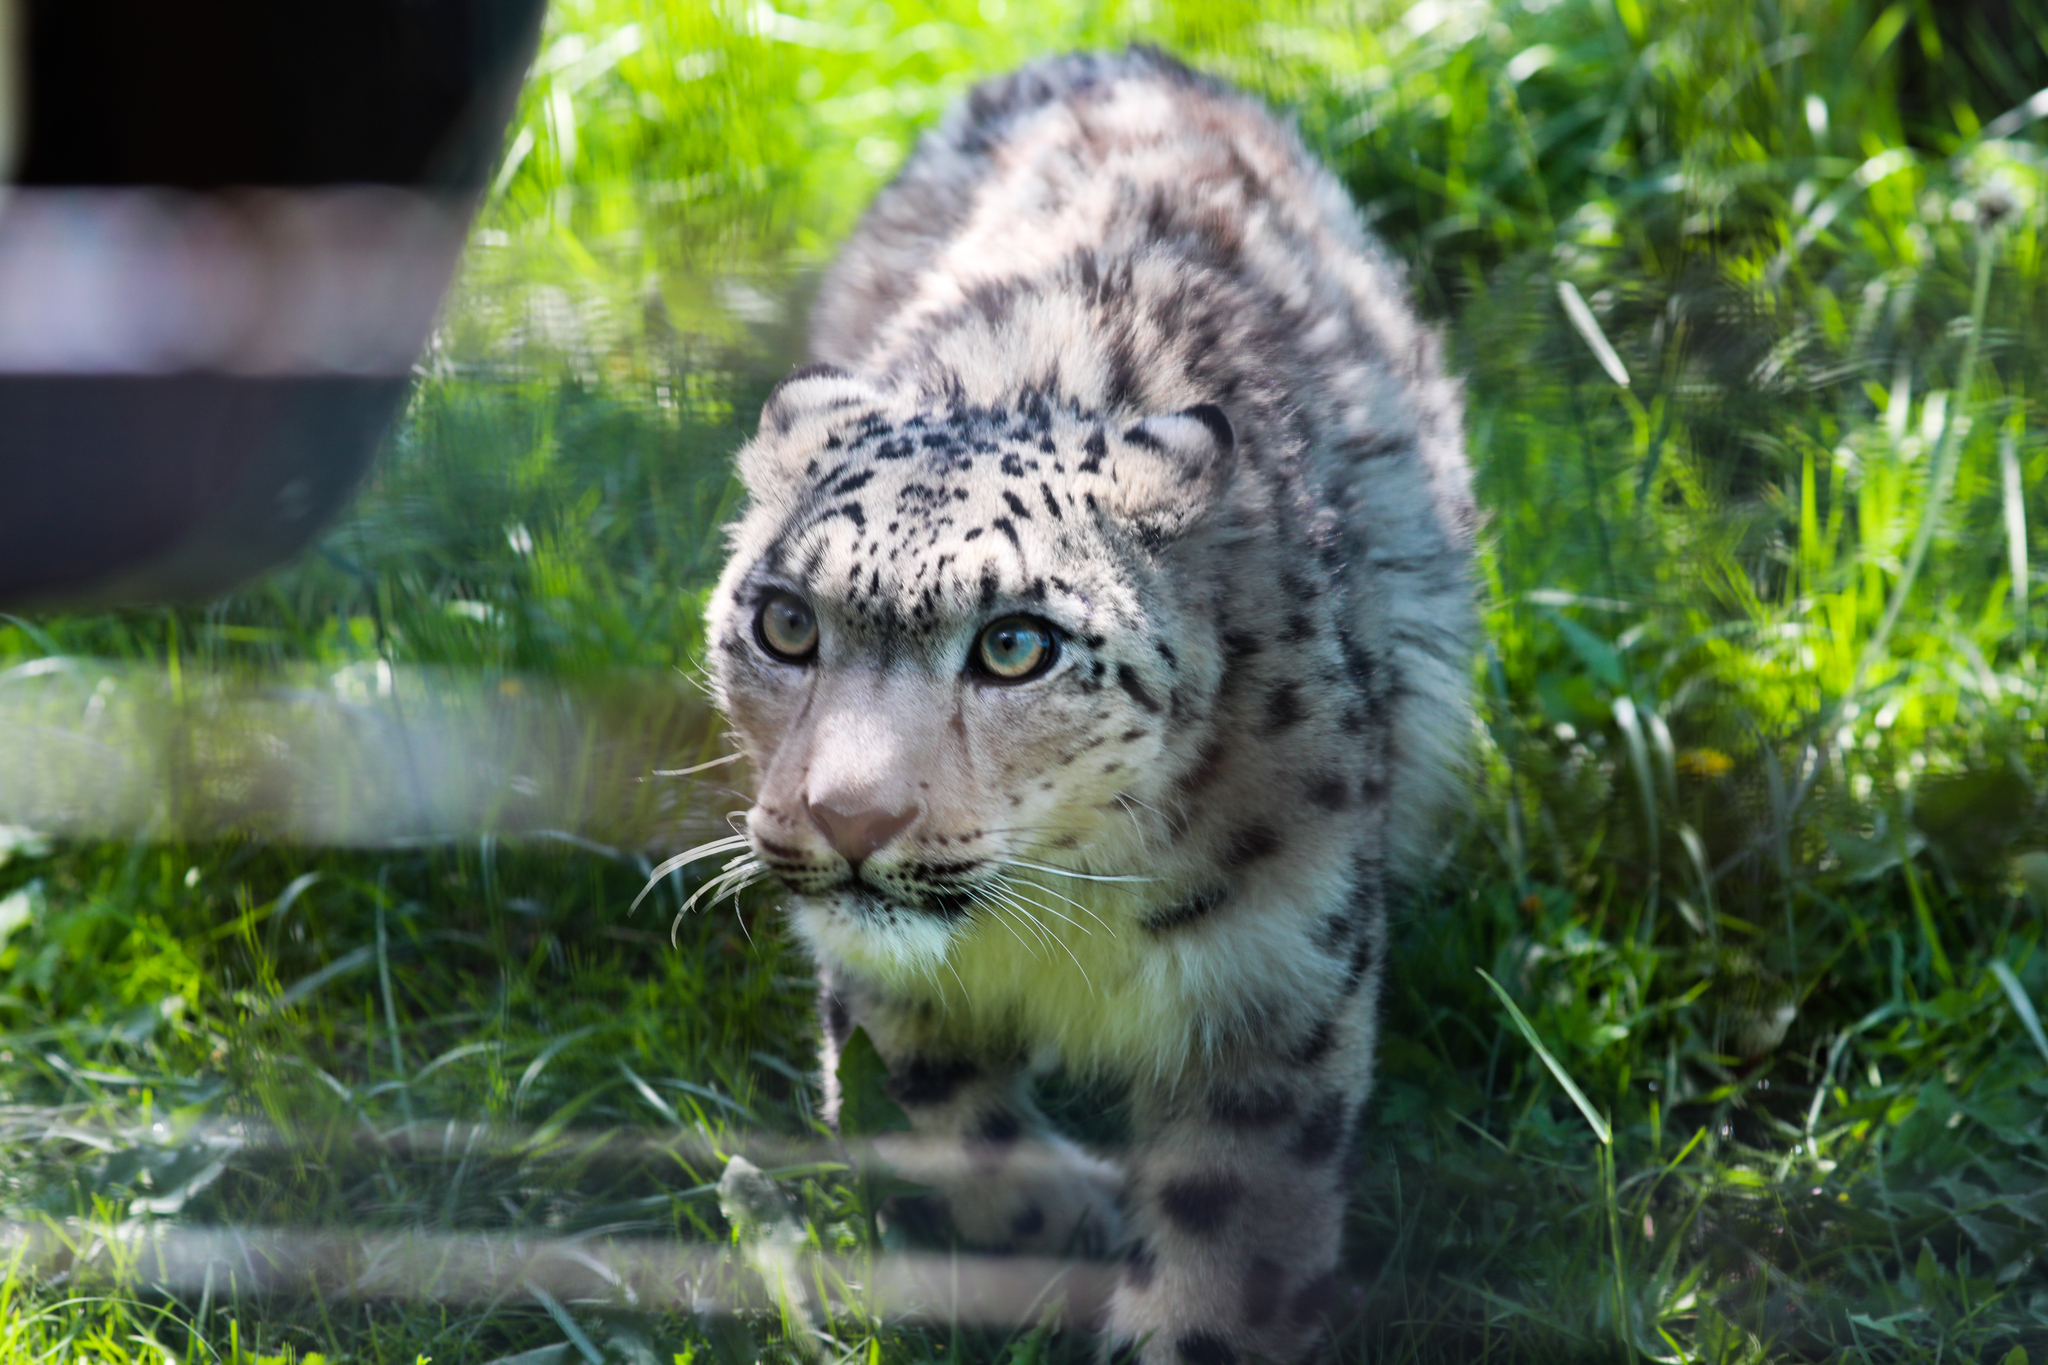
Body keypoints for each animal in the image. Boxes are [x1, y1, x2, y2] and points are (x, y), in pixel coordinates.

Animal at [702, 46, 1477, 1365]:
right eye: (786, 624)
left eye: (1015, 645)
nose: (849, 819)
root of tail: (1118, 55)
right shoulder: (885, 980)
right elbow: (934, 1107)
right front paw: (1066, 1219)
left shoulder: (1275, 980)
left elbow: (1232, 1232)